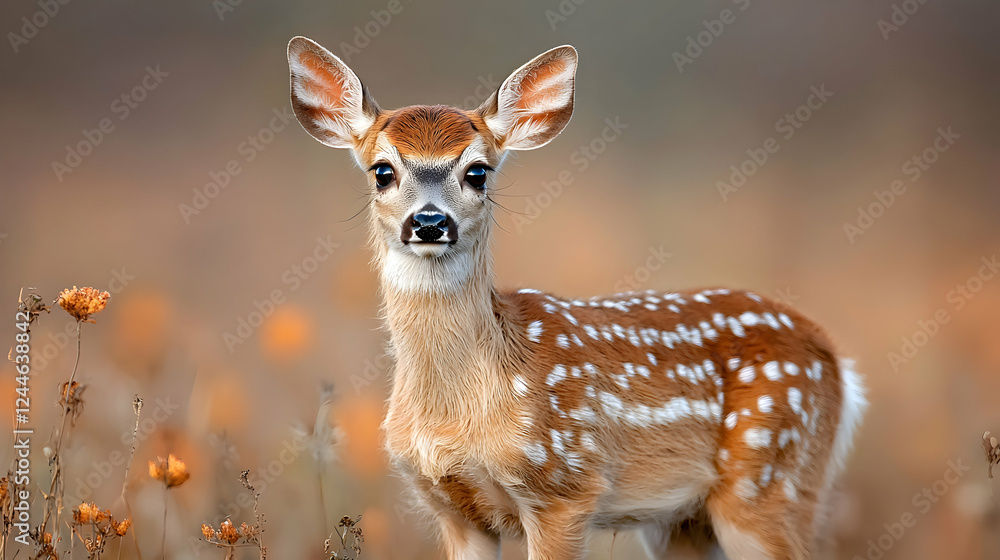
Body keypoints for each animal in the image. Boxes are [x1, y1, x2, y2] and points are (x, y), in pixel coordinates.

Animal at [286, 36, 867, 560]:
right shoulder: (452, 507)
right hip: (683, 522)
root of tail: (835, 358)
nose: (430, 222)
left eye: (477, 171)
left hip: (768, 481)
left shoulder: (564, 489)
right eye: (382, 171)